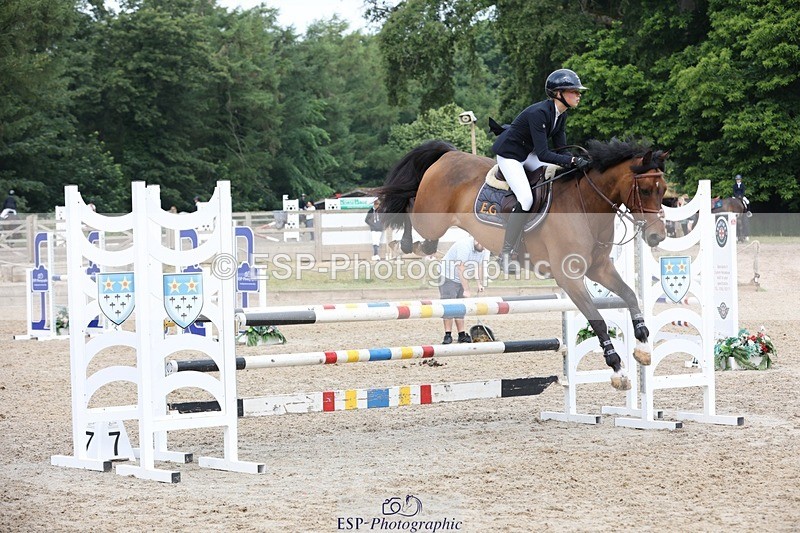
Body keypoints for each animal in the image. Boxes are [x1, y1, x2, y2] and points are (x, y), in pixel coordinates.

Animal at [377, 138, 669, 390]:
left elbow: (629, 295)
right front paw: (618, 370)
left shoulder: (600, 269)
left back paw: (423, 246)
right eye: (645, 190)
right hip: (431, 216)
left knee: (425, 233)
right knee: (409, 204)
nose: (658, 237)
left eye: (663, 190)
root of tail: (449, 154)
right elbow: (597, 321)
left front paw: (643, 348)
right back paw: (407, 243)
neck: (585, 204)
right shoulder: (570, 278)